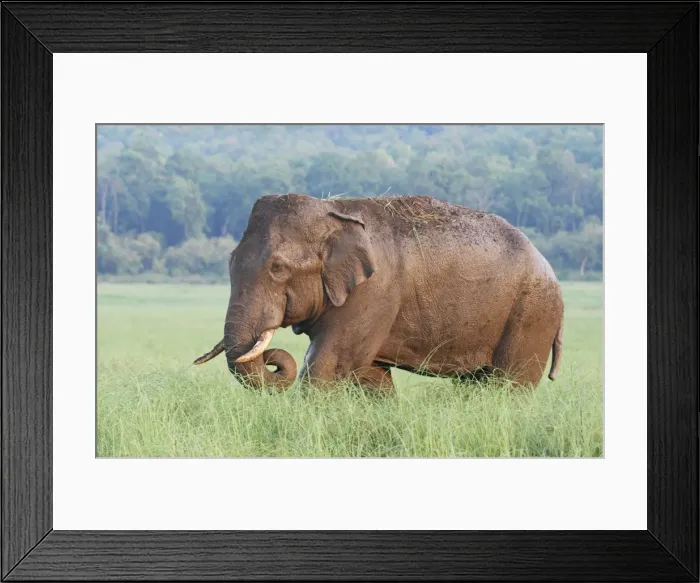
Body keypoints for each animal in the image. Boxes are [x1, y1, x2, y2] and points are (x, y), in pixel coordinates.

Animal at [194, 193, 564, 393]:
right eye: (230, 262)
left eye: (278, 268)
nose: (272, 361)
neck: (333, 211)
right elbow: (370, 374)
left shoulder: (375, 292)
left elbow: (329, 364)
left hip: (531, 314)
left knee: (509, 384)